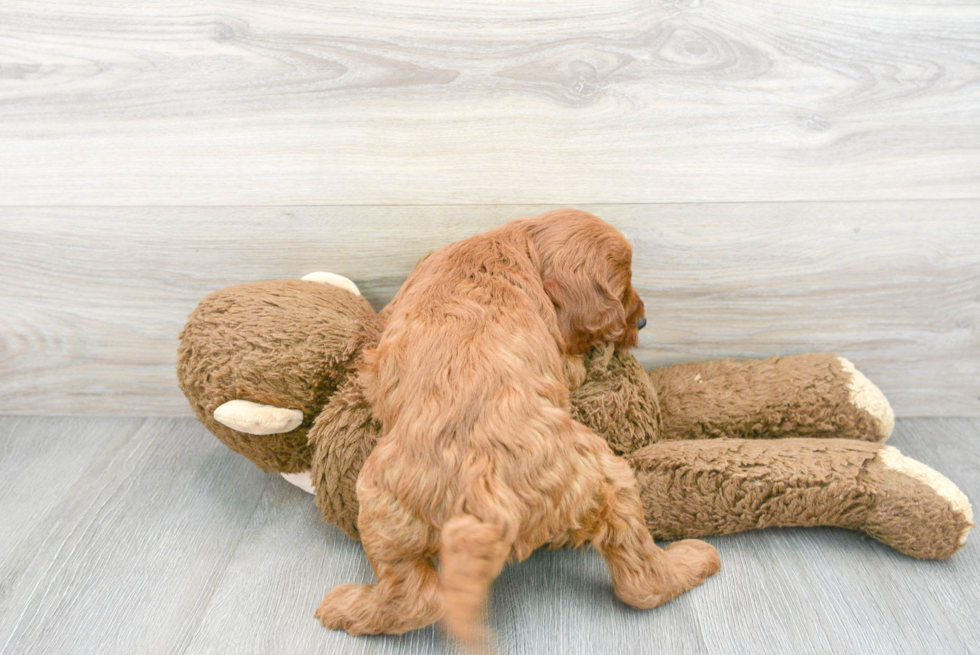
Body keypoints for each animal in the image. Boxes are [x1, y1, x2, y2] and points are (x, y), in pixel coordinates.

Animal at [316, 209, 720, 644]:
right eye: (622, 286)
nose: (642, 322)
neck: (515, 240)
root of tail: (487, 494)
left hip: (381, 500)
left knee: (417, 599)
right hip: (603, 481)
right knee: (640, 582)